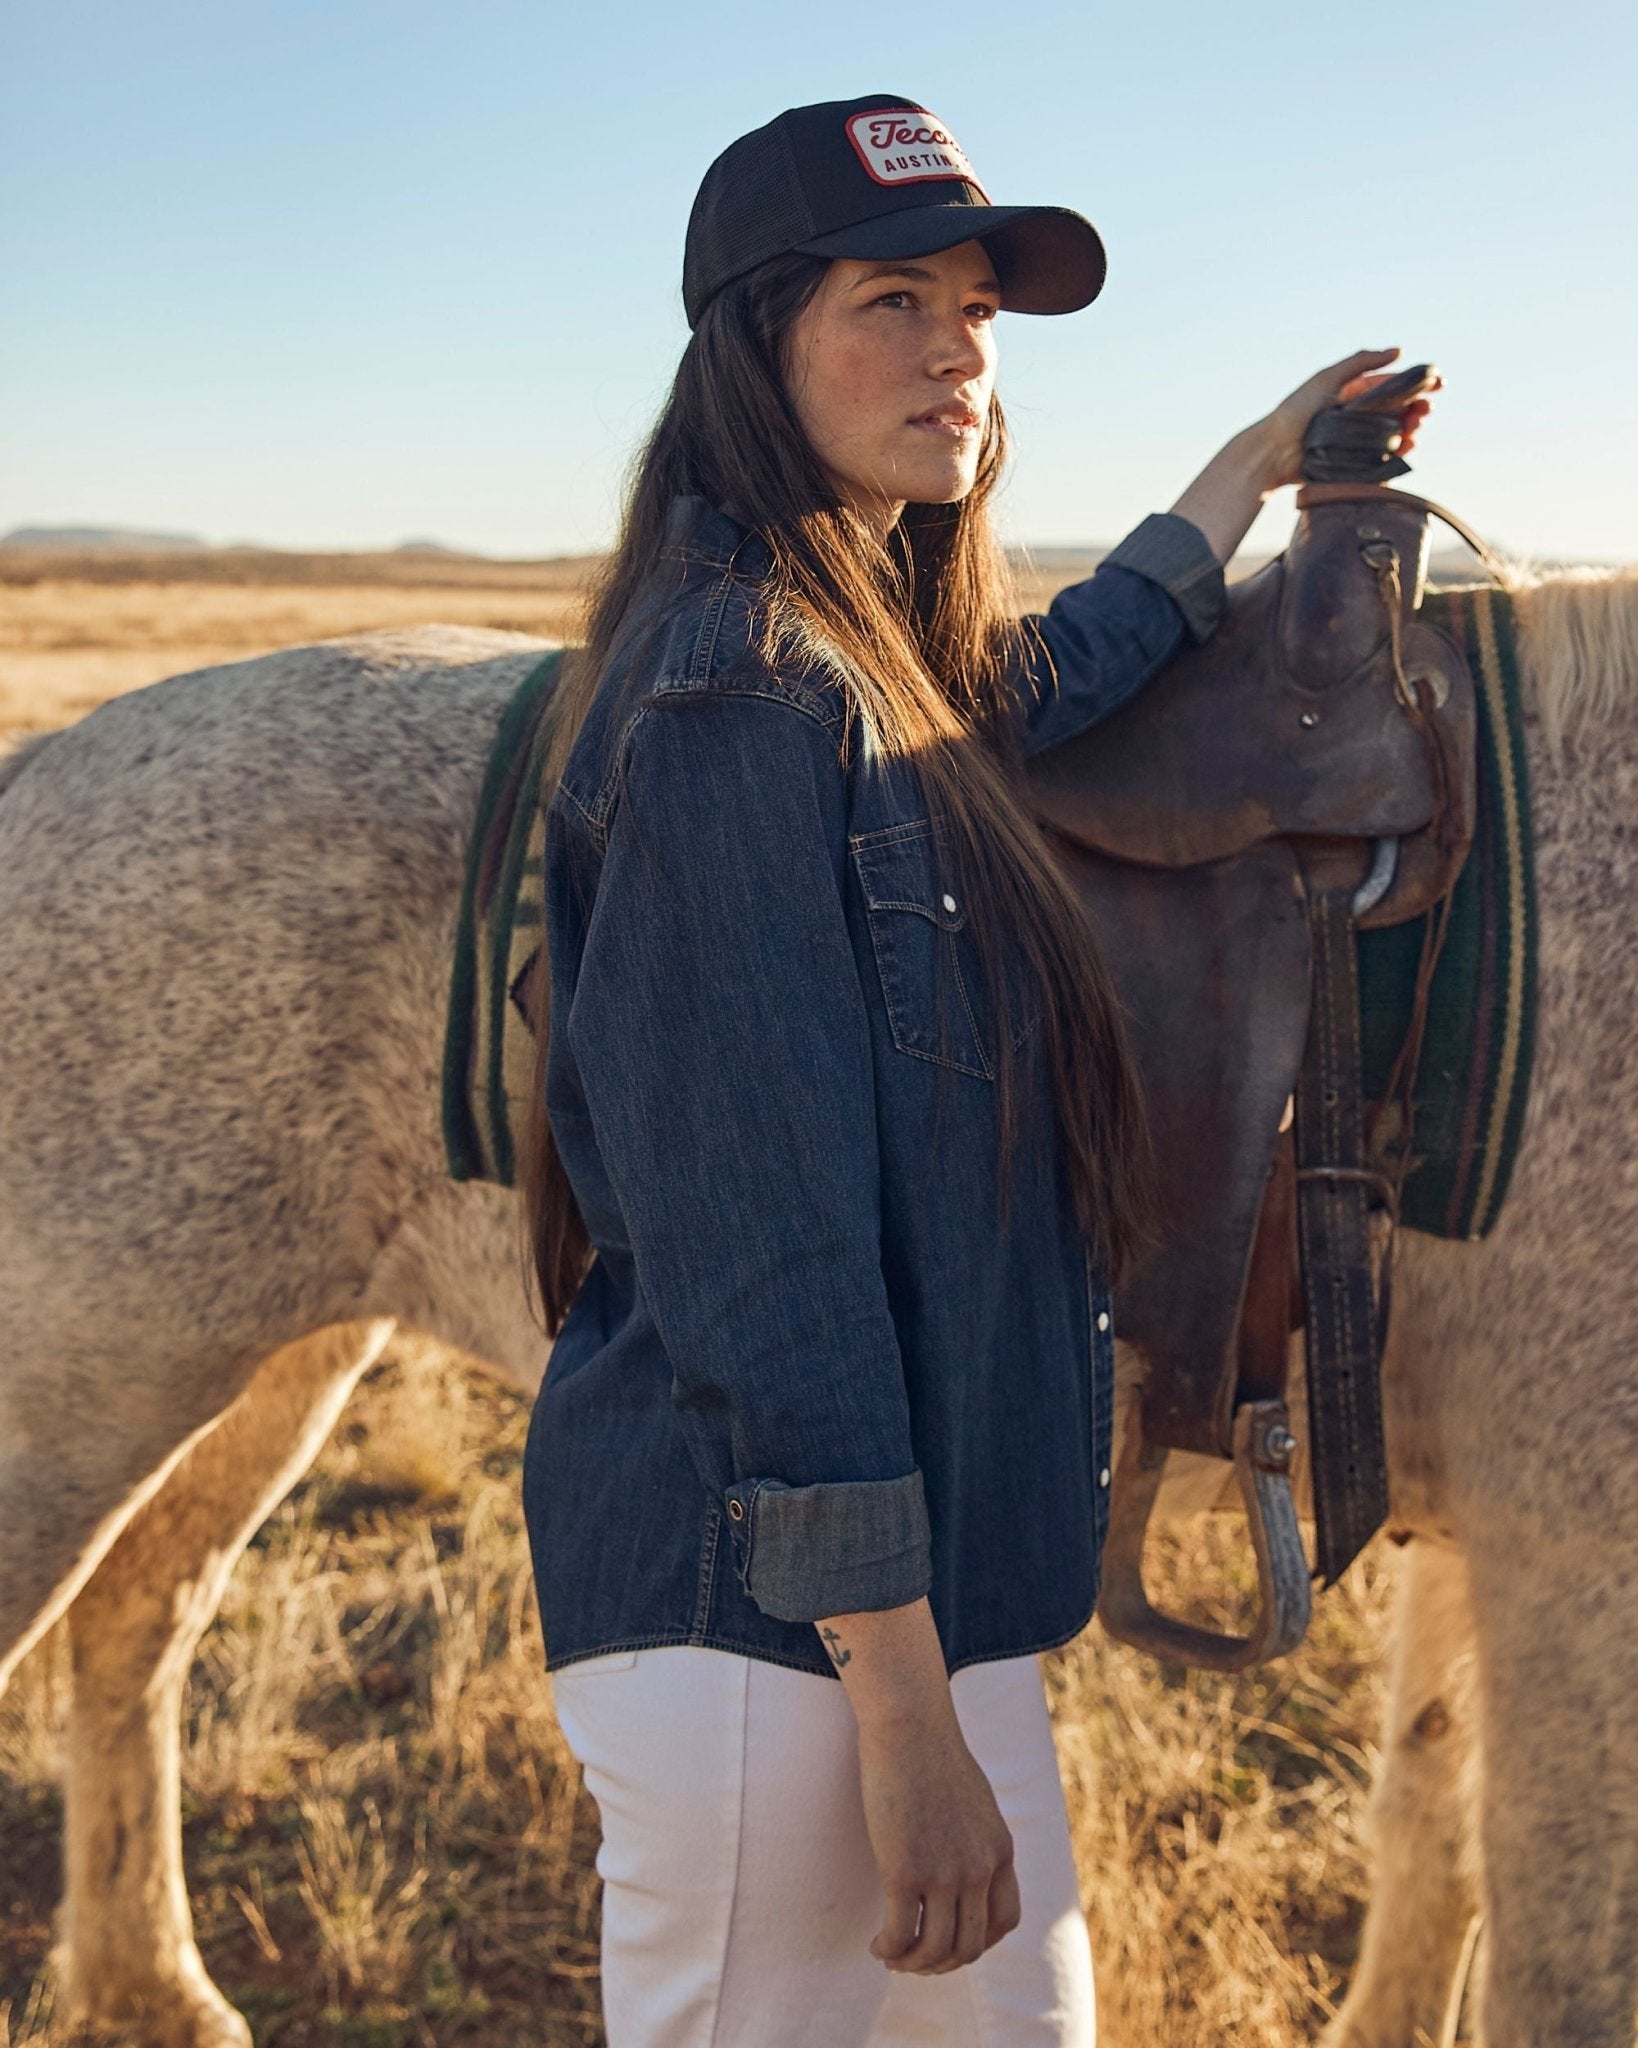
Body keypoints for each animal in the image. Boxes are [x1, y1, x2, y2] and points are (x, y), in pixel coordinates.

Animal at [0, 561, 1629, 2048]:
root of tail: (42, 771)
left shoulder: (1483, 1542)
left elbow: (1429, 1820)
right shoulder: (1572, 1560)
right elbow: (1558, 1957)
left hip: (280, 1360)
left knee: (135, 1625)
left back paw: (153, 1987)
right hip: (86, 1395)